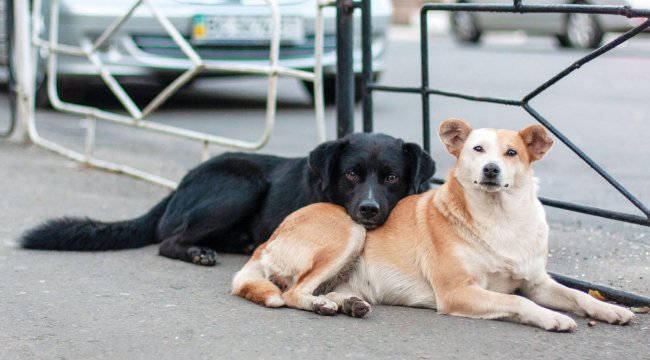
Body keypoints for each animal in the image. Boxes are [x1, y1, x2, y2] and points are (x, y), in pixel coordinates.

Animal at [21, 132, 436, 264]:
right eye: (351, 174)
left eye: (392, 178)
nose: (368, 208)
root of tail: (181, 183)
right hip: (243, 186)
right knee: (168, 240)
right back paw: (198, 253)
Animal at [232, 119, 632, 332]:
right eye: (476, 150)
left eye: (511, 153)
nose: (491, 170)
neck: (501, 219)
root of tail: (270, 238)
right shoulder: (459, 292)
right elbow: (515, 300)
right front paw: (551, 317)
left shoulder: (537, 282)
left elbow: (577, 295)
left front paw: (610, 309)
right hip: (352, 231)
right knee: (293, 292)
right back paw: (321, 305)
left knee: (320, 290)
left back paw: (347, 303)